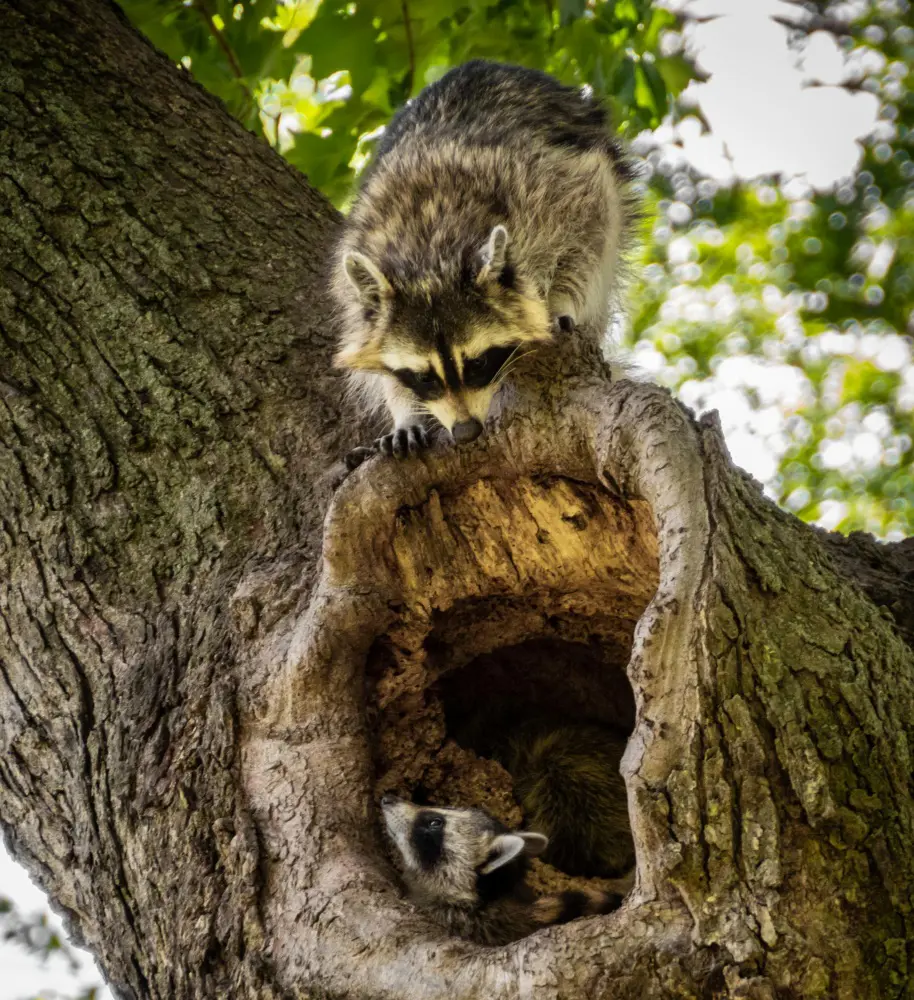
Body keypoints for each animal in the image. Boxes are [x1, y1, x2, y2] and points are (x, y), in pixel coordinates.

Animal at [333, 59, 636, 460]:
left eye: (477, 363)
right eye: (423, 376)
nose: (466, 431)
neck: (429, 255)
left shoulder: (549, 190)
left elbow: (589, 232)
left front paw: (560, 300)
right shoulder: (359, 265)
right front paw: (405, 410)